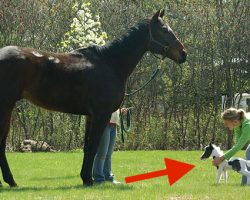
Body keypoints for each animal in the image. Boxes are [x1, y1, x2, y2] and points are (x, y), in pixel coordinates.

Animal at [0, 9, 186, 188]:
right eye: (164, 30)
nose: (183, 53)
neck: (110, 63)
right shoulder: (100, 114)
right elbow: (94, 147)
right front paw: (89, 179)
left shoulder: (90, 116)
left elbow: (87, 147)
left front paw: (85, 177)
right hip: (6, 107)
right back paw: (11, 181)